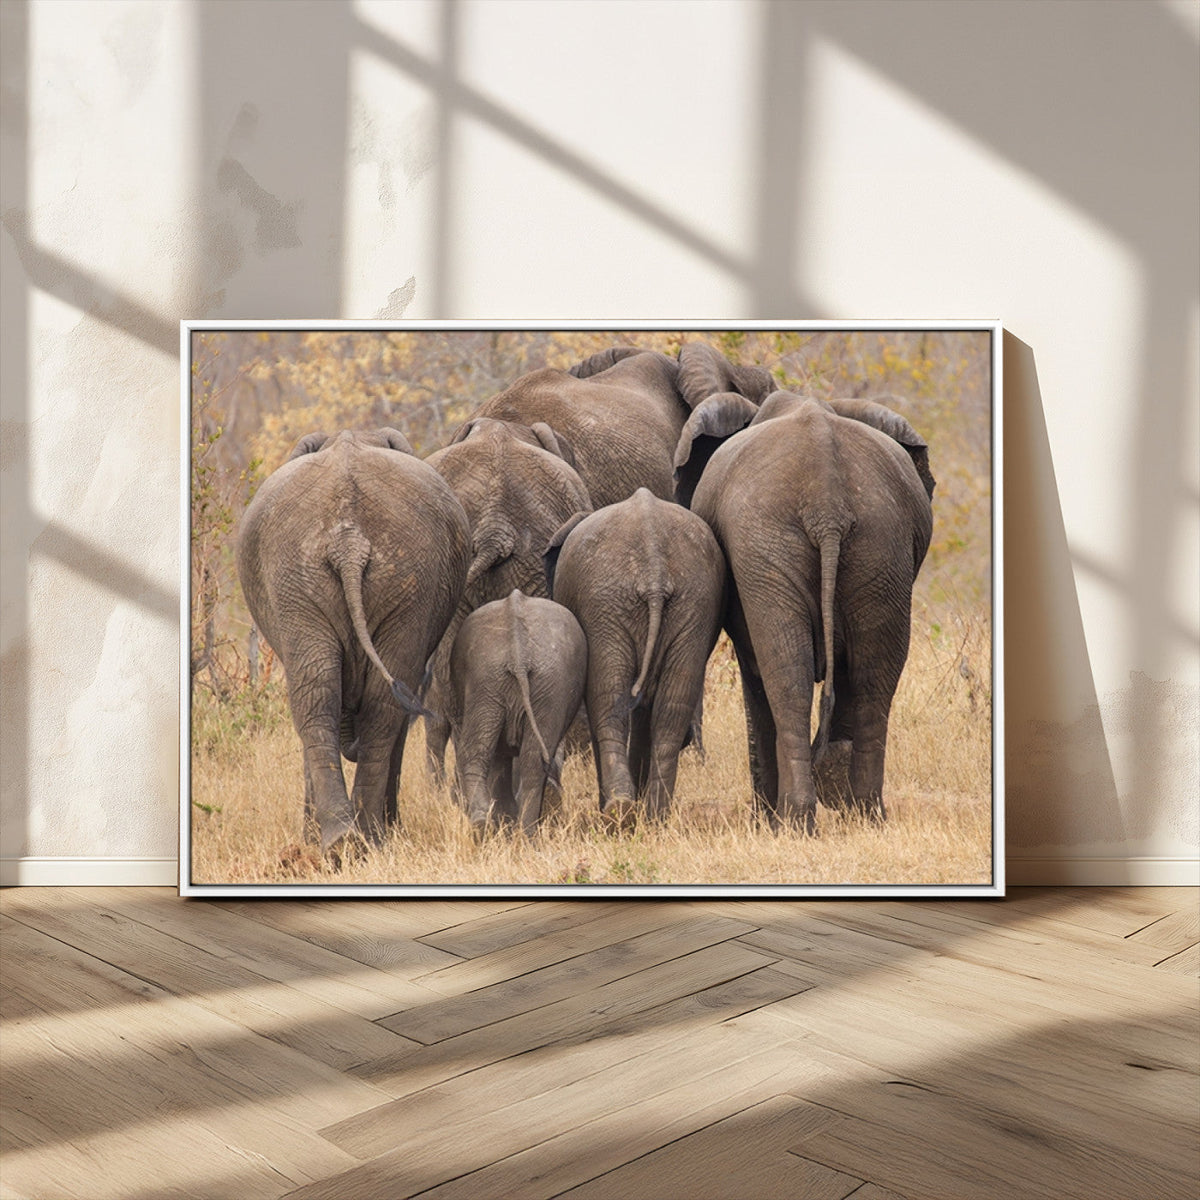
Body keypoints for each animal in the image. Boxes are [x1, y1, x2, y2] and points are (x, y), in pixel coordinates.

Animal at [236, 428, 470, 860]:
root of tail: (349, 541)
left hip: (375, 578)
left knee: (334, 698)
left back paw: (356, 839)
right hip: (316, 577)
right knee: (337, 696)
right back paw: (350, 840)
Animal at [448, 590, 587, 838]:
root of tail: (518, 653)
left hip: (501, 680)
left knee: (488, 753)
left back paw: (493, 828)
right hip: (523, 682)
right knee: (525, 758)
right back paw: (516, 833)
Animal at [545, 488, 725, 822]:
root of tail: (654, 568)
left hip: (606, 606)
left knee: (608, 701)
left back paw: (619, 811)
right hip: (693, 603)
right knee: (670, 708)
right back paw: (653, 815)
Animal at [688, 391, 935, 833]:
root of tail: (827, 502)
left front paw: (765, 822)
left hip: (771, 546)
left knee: (787, 679)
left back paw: (794, 822)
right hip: (880, 545)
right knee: (871, 682)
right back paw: (864, 815)